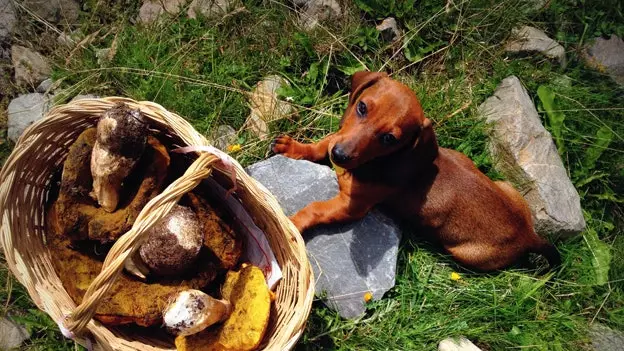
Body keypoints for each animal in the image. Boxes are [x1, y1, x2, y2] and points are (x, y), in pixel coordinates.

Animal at [270, 70, 560, 270]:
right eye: (362, 107)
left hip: (464, 253)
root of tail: (529, 236)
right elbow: (322, 144)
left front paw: (292, 224)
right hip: (505, 186)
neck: (372, 163)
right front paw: (294, 147)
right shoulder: (338, 138)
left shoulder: (350, 207)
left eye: (389, 138)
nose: (339, 156)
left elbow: (314, 209)